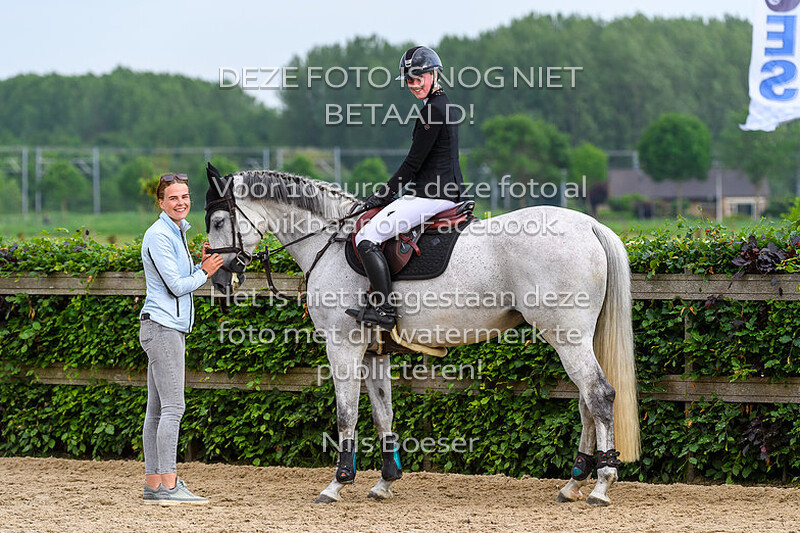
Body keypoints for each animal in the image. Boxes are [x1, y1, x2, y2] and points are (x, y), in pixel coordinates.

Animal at [204, 168, 640, 506]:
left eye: (219, 221)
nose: (221, 280)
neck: (329, 242)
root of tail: (590, 225)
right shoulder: (373, 352)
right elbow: (382, 413)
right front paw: (385, 481)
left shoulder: (343, 347)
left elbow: (346, 414)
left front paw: (337, 483)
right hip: (574, 338)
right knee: (586, 401)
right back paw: (573, 483)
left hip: (567, 337)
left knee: (599, 395)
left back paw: (601, 486)